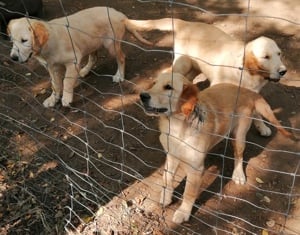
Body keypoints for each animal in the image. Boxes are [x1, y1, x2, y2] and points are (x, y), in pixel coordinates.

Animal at [7, 6, 151, 107]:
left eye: (24, 40)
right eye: (12, 40)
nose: (13, 58)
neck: (47, 45)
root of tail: (119, 14)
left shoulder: (73, 60)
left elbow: (66, 80)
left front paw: (66, 97)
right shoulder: (52, 67)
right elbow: (55, 84)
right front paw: (53, 99)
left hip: (111, 45)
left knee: (121, 57)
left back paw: (119, 75)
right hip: (91, 43)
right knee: (94, 58)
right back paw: (84, 71)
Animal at [125, 18, 288, 138]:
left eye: (279, 54)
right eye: (266, 57)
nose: (283, 71)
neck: (245, 72)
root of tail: (186, 23)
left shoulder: (252, 94)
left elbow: (257, 113)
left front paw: (262, 127)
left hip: (195, 67)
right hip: (183, 63)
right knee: (167, 73)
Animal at [140, 73, 292, 224]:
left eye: (168, 87)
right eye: (153, 83)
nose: (142, 95)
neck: (176, 126)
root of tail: (246, 91)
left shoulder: (196, 169)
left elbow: (189, 193)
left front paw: (183, 212)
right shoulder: (171, 155)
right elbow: (167, 177)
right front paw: (166, 197)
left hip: (239, 136)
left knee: (239, 156)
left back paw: (238, 174)